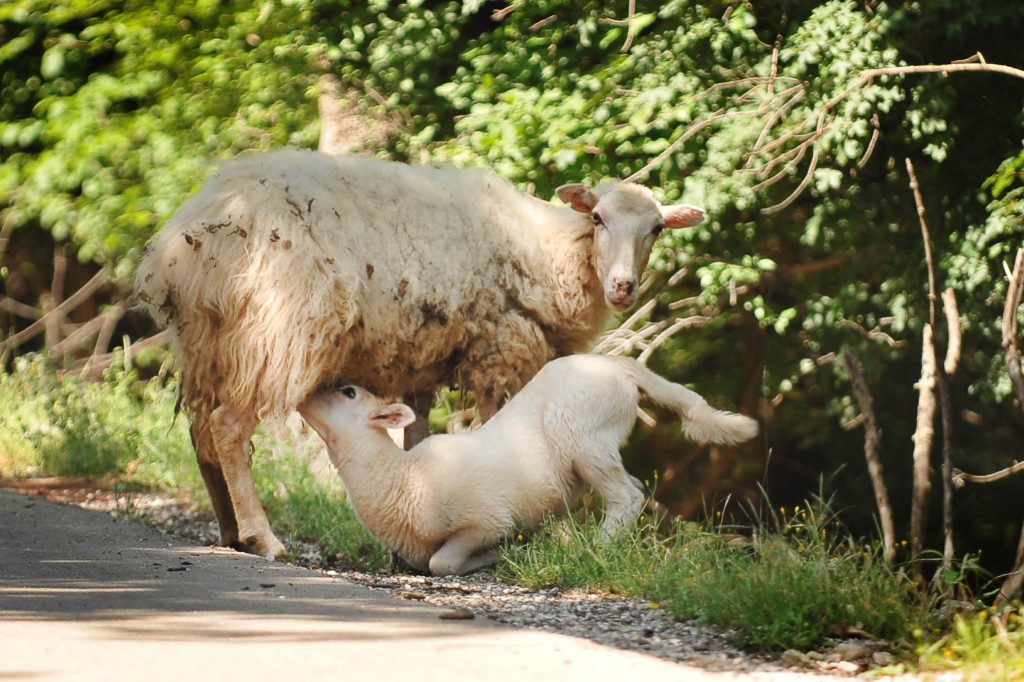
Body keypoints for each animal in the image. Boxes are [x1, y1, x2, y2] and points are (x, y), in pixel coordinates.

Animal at [132, 148, 708, 557]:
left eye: (657, 228)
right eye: (598, 220)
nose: (623, 288)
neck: (551, 249)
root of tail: (181, 249)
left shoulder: (421, 362)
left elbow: (416, 437)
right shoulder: (499, 350)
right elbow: (504, 436)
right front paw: (551, 535)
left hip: (209, 343)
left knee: (202, 435)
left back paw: (229, 531)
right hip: (277, 334)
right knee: (228, 429)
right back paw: (262, 538)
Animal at [299, 350, 761, 573]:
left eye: (349, 392)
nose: (303, 395)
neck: (402, 480)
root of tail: (620, 366)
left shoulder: (486, 519)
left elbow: (441, 562)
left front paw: (497, 556)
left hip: (581, 429)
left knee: (628, 495)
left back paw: (594, 550)